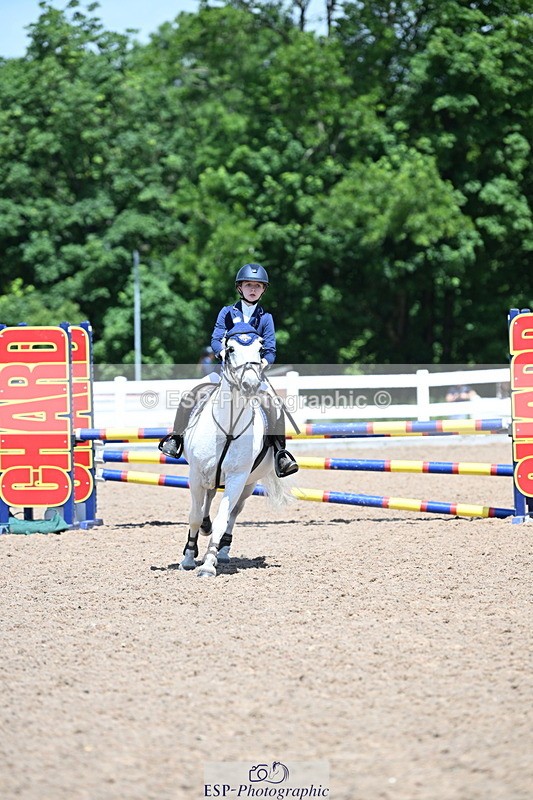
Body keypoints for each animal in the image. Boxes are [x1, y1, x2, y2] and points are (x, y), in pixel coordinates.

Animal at [179, 323, 287, 577]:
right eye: (230, 348)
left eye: (260, 349)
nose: (250, 385)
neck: (228, 427)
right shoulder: (195, 474)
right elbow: (194, 516)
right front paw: (188, 558)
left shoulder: (238, 478)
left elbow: (223, 518)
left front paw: (209, 564)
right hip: (208, 476)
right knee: (207, 501)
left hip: (248, 484)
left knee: (234, 512)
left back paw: (223, 551)